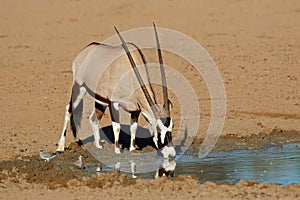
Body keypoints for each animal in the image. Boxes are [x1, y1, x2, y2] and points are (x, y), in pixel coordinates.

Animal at [56, 23, 176, 159]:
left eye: (172, 127)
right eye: (159, 129)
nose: (172, 154)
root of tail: (86, 50)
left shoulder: (135, 109)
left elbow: (133, 128)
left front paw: (132, 149)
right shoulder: (113, 103)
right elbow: (117, 127)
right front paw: (118, 151)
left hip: (100, 101)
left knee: (93, 119)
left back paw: (98, 146)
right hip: (79, 88)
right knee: (69, 110)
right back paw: (60, 147)